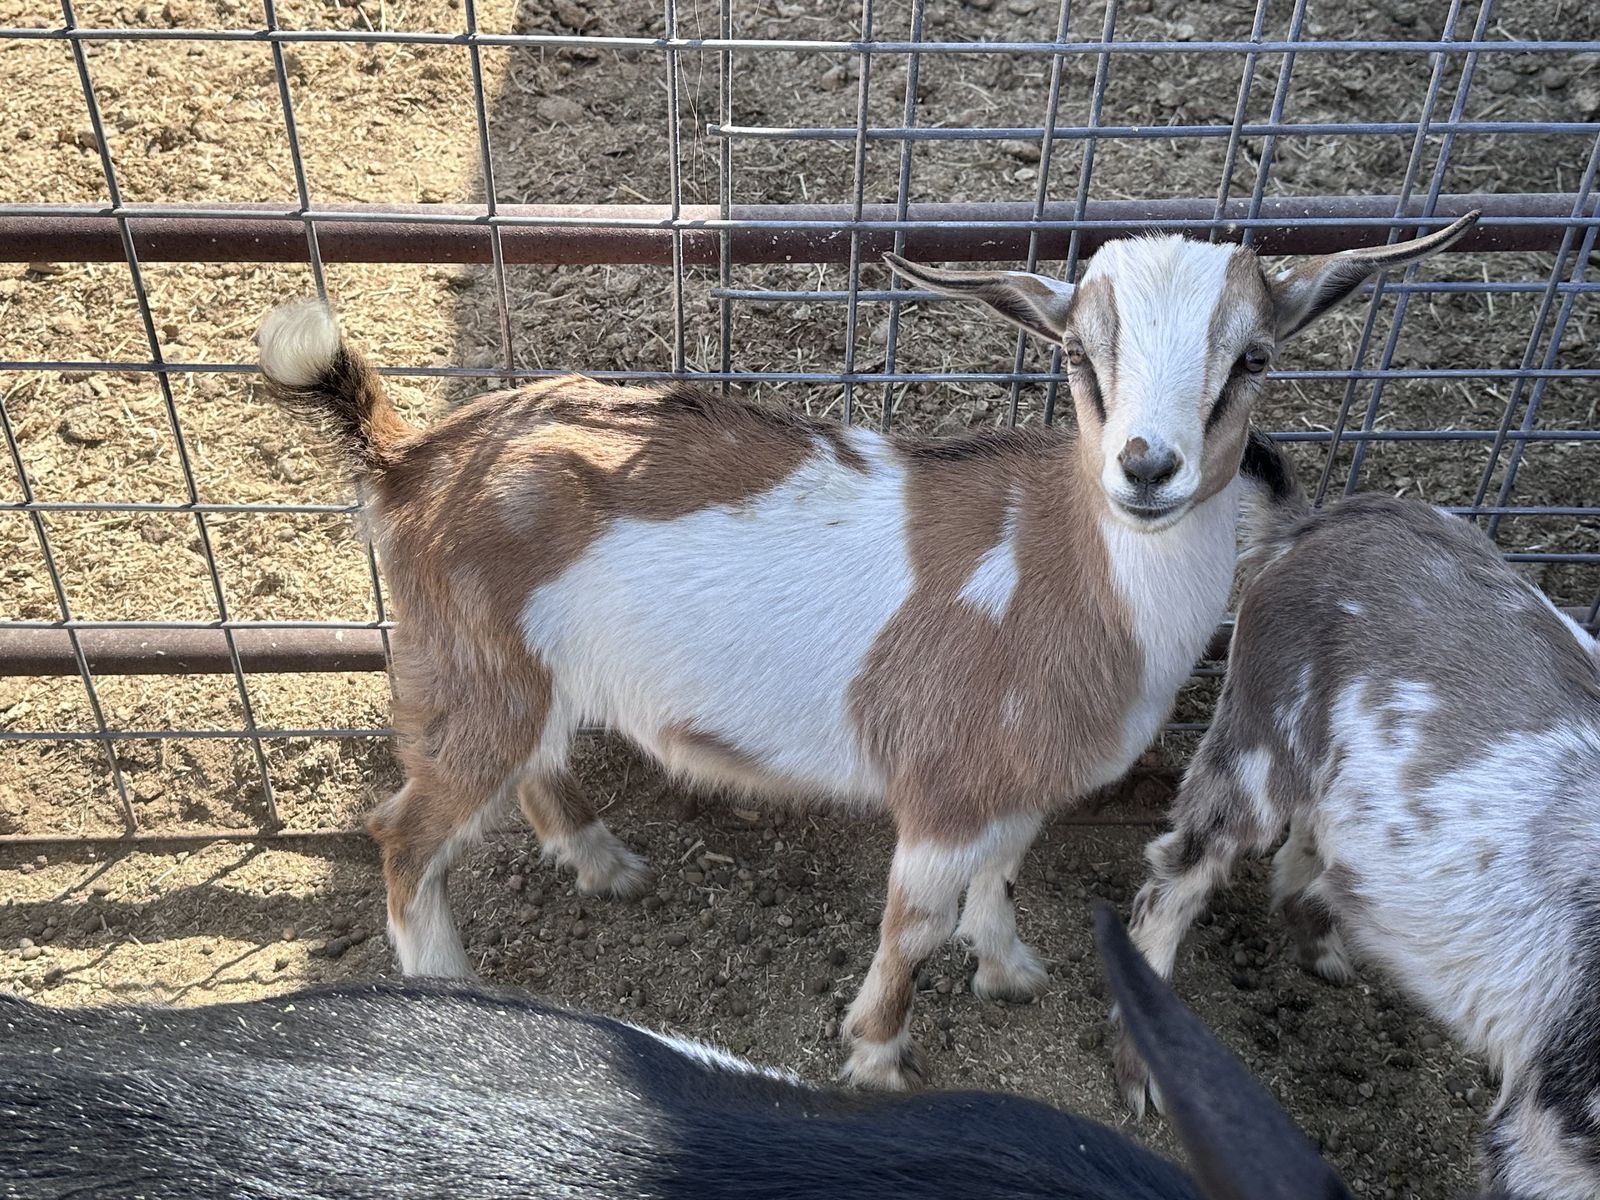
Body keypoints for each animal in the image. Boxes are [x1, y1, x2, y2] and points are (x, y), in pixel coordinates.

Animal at [255, 213, 1477, 1089]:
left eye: (1253, 356)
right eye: (1080, 355)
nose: (1146, 466)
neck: (1070, 572)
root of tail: (412, 460)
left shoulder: (1015, 781)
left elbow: (1002, 871)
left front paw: (1009, 968)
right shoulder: (941, 786)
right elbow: (914, 925)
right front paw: (881, 1057)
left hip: (524, 680)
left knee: (533, 774)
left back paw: (605, 865)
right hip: (472, 677)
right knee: (407, 833)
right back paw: (446, 991)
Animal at [1115, 438, 1600, 1199]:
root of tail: (1314, 521)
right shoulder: (1553, 1126)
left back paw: (1321, 946)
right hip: (1263, 728)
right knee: (1180, 874)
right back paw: (1143, 1066)